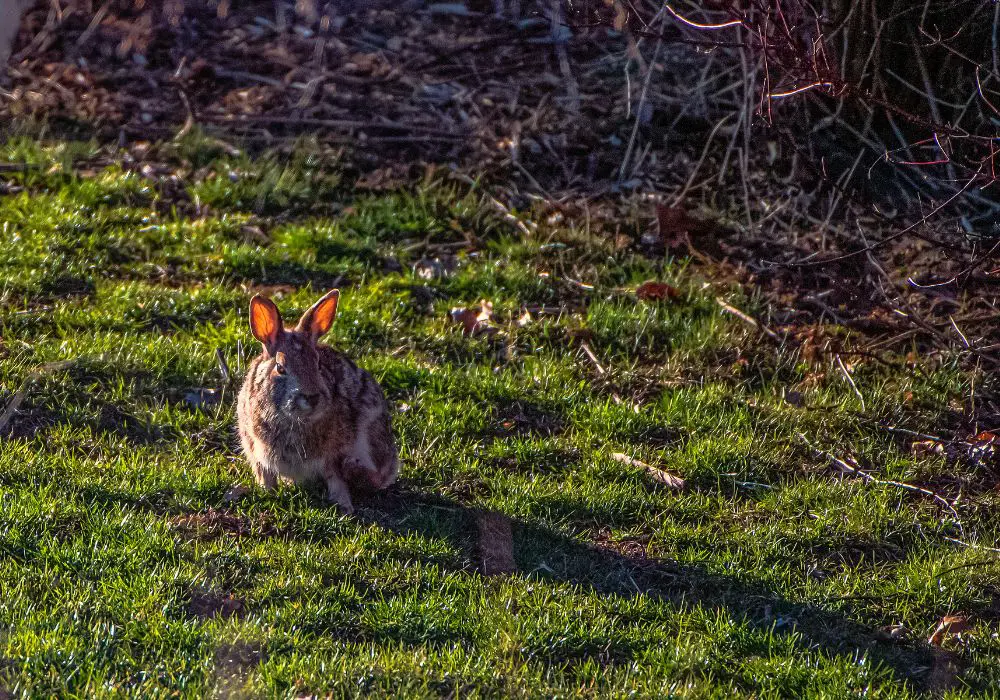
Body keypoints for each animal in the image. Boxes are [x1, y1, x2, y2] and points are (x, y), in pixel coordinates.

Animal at [237, 290, 398, 516]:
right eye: (280, 368)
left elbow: (335, 479)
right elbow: (265, 475)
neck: (293, 419)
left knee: (375, 478)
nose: (312, 397)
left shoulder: (333, 454)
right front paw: (267, 492)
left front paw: (344, 506)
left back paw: (354, 469)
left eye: (318, 364)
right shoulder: (254, 447)